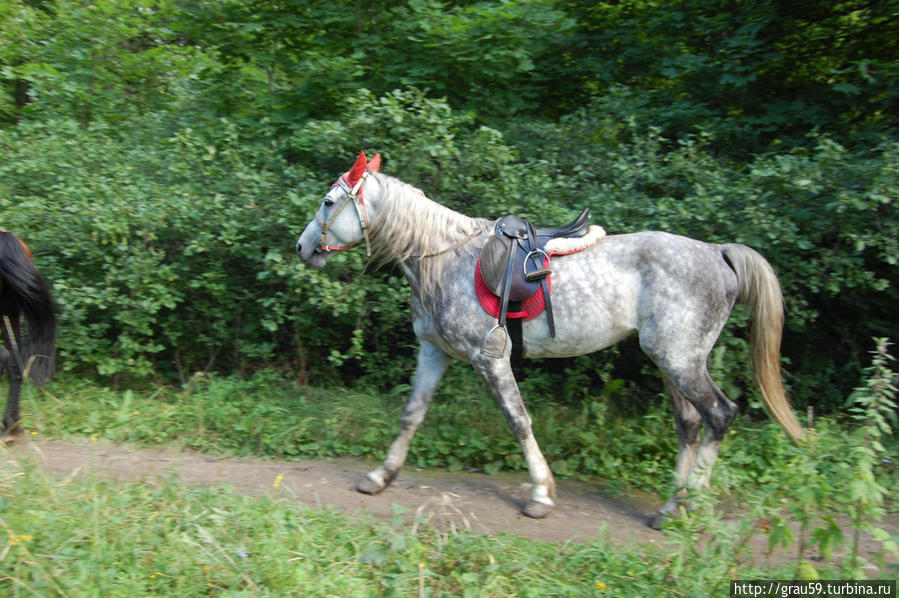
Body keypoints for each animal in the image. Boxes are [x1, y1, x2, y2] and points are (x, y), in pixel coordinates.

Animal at [298, 154, 804, 528]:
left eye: (327, 201)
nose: (302, 248)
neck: (443, 259)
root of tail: (718, 254)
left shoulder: (490, 359)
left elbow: (519, 421)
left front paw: (541, 494)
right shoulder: (434, 352)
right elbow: (411, 415)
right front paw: (381, 475)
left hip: (682, 360)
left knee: (719, 415)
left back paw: (691, 506)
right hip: (670, 361)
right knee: (690, 424)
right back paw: (668, 507)